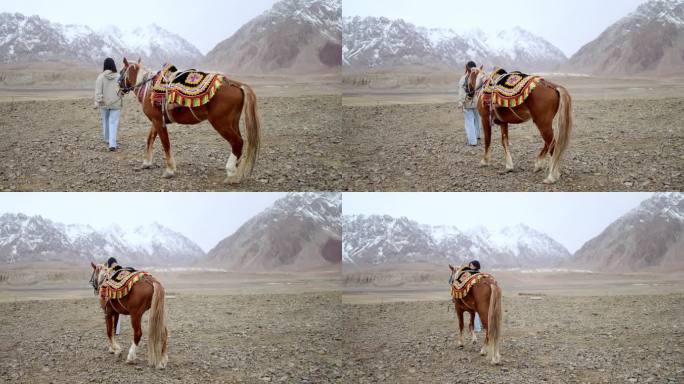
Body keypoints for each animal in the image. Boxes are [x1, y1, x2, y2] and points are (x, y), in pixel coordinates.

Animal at [117, 56, 260, 183]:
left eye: (121, 72)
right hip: (233, 122)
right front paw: (146, 163)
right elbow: (150, 139)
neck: (148, 89)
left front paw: (169, 170)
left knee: (237, 142)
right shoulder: (156, 120)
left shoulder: (158, 121)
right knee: (239, 143)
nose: (119, 90)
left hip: (221, 123)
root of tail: (236, 84)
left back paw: (231, 173)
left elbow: (165, 144)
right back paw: (236, 172)